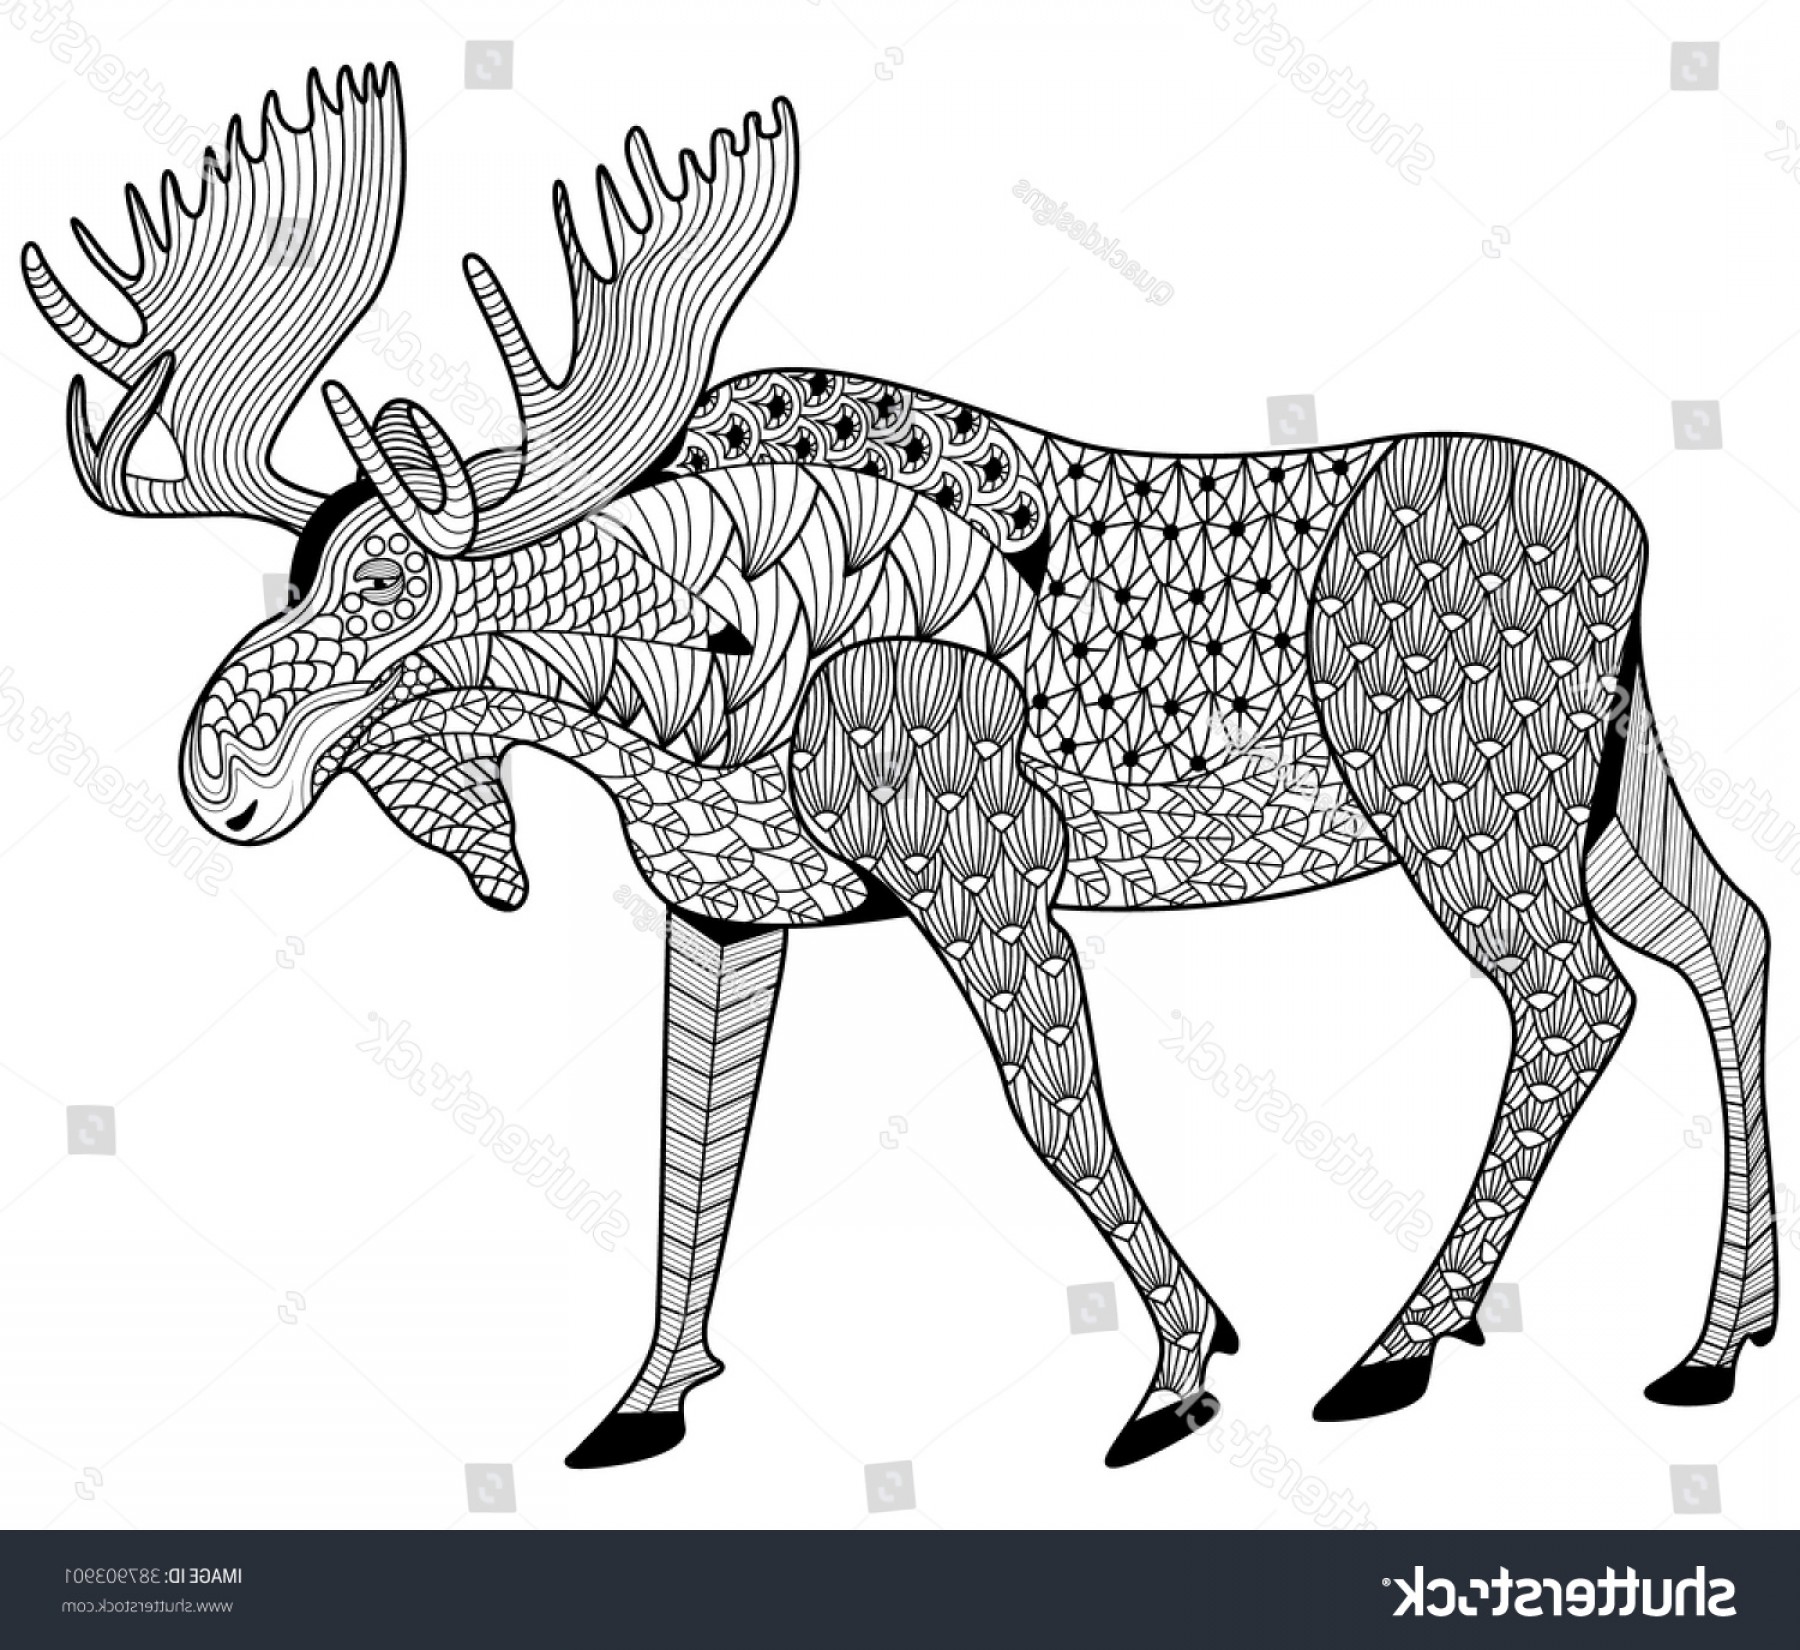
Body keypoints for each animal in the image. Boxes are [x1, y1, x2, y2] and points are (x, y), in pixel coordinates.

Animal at [24, 63, 1775, 1472]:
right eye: (296, 573)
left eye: (389, 583)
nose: (216, 777)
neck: (675, 687)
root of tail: (1637, 531)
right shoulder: (730, 902)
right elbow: (696, 1137)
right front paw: (646, 1398)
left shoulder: (983, 872)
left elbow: (1052, 1106)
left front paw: (1180, 1367)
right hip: (1603, 791)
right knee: (1725, 934)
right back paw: (1713, 1342)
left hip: (1463, 803)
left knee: (1578, 999)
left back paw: (1405, 1340)